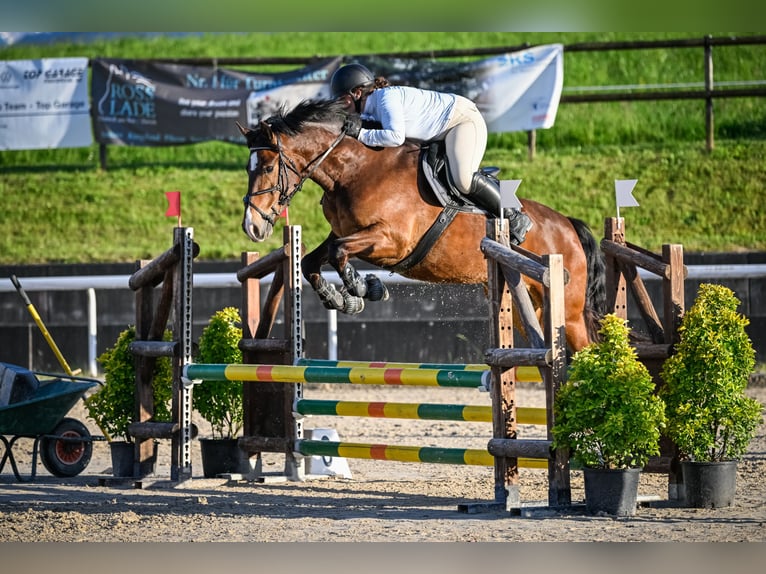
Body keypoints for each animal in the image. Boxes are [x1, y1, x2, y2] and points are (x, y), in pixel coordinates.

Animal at [237, 98, 608, 356]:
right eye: (248, 168)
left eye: (267, 167)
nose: (252, 227)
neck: (352, 170)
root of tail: (569, 226)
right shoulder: (346, 231)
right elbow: (312, 259)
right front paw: (341, 298)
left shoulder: (391, 240)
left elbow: (338, 251)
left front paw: (364, 288)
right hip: (523, 303)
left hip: (569, 312)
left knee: (587, 352)